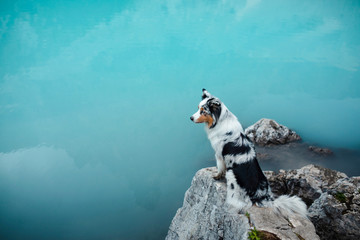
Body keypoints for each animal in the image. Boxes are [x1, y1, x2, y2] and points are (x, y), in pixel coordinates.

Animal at [191, 89, 306, 218]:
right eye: (198, 108)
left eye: (203, 111)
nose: (190, 118)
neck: (221, 121)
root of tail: (262, 196)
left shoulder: (219, 155)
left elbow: (220, 169)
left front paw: (216, 176)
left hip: (232, 175)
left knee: (240, 203)